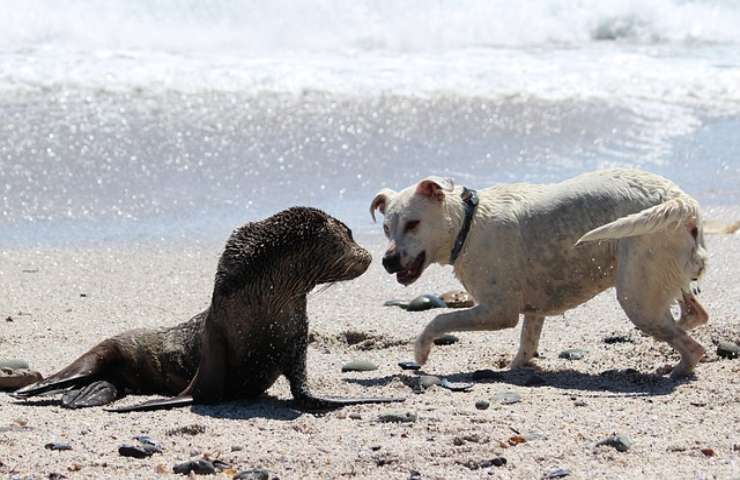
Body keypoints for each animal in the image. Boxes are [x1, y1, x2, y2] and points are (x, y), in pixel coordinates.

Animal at [372, 170, 708, 378]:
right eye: (386, 228)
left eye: (413, 224)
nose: (387, 261)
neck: (468, 223)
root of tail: (680, 200)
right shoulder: (533, 310)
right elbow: (527, 342)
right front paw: (518, 367)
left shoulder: (497, 311)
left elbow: (439, 319)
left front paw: (421, 352)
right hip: (661, 280)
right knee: (694, 315)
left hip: (636, 299)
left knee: (694, 348)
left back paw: (675, 370)